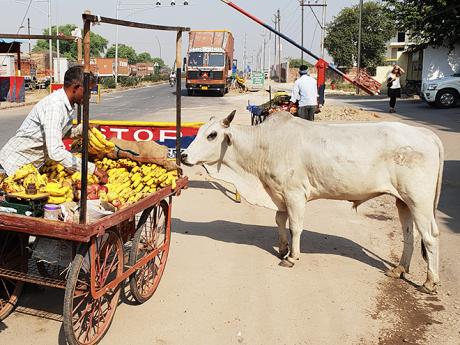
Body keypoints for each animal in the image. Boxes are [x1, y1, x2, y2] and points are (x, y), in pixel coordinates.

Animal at [181, 111, 444, 292]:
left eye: (212, 135)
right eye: (199, 132)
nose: (183, 155)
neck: (264, 146)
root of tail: (427, 134)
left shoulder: (295, 194)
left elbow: (296, 226)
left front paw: (292, 257)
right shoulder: (280, 195)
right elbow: (280, 220)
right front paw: (283, 248)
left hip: (418, 200)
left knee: (430, 237)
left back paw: (430, 282)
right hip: (403, 201)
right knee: (410, 236)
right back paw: (399, 269)